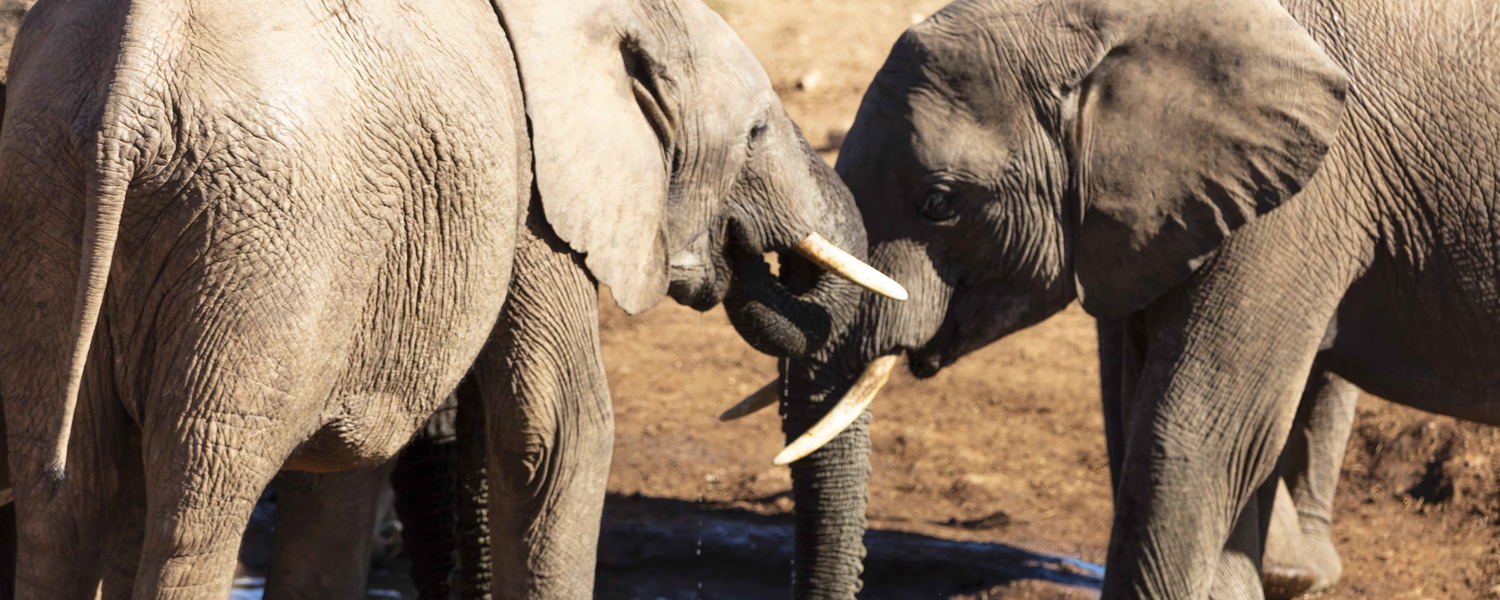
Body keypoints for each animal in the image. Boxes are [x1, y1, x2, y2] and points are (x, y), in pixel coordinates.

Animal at [0, 0, 903, 598]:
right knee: (197, 505)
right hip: (260, 230)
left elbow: (343, 472)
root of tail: (137, 71)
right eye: (757, 133)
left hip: (51, 177)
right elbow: (560, 431)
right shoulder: (535, 183)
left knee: (67, 497)